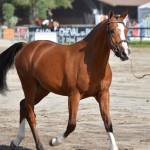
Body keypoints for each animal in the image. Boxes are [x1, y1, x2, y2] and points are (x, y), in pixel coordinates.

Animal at [0, 10, 130, 150]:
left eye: (126, 30)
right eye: (111, 31)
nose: (125, 53)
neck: (90, 62)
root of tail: (25, 46)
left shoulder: (103, 94)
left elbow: (108, 122)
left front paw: (114, 146)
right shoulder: (74, 95)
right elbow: (71, 124)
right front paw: (54, 141)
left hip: (42, 89)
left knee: (23, 105)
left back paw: (16, 141)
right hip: (28, 85)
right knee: (30, 113)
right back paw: (39, 145)